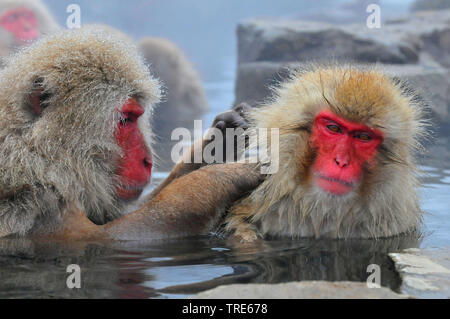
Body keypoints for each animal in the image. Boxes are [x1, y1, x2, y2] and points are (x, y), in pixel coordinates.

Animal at [0, 27, 262, 241]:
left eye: (136, 116)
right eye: (125, 120)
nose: (147, 161)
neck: (39, 156)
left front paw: (221, 140)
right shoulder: (36, 201)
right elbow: (114, 236)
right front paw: (221, 176)